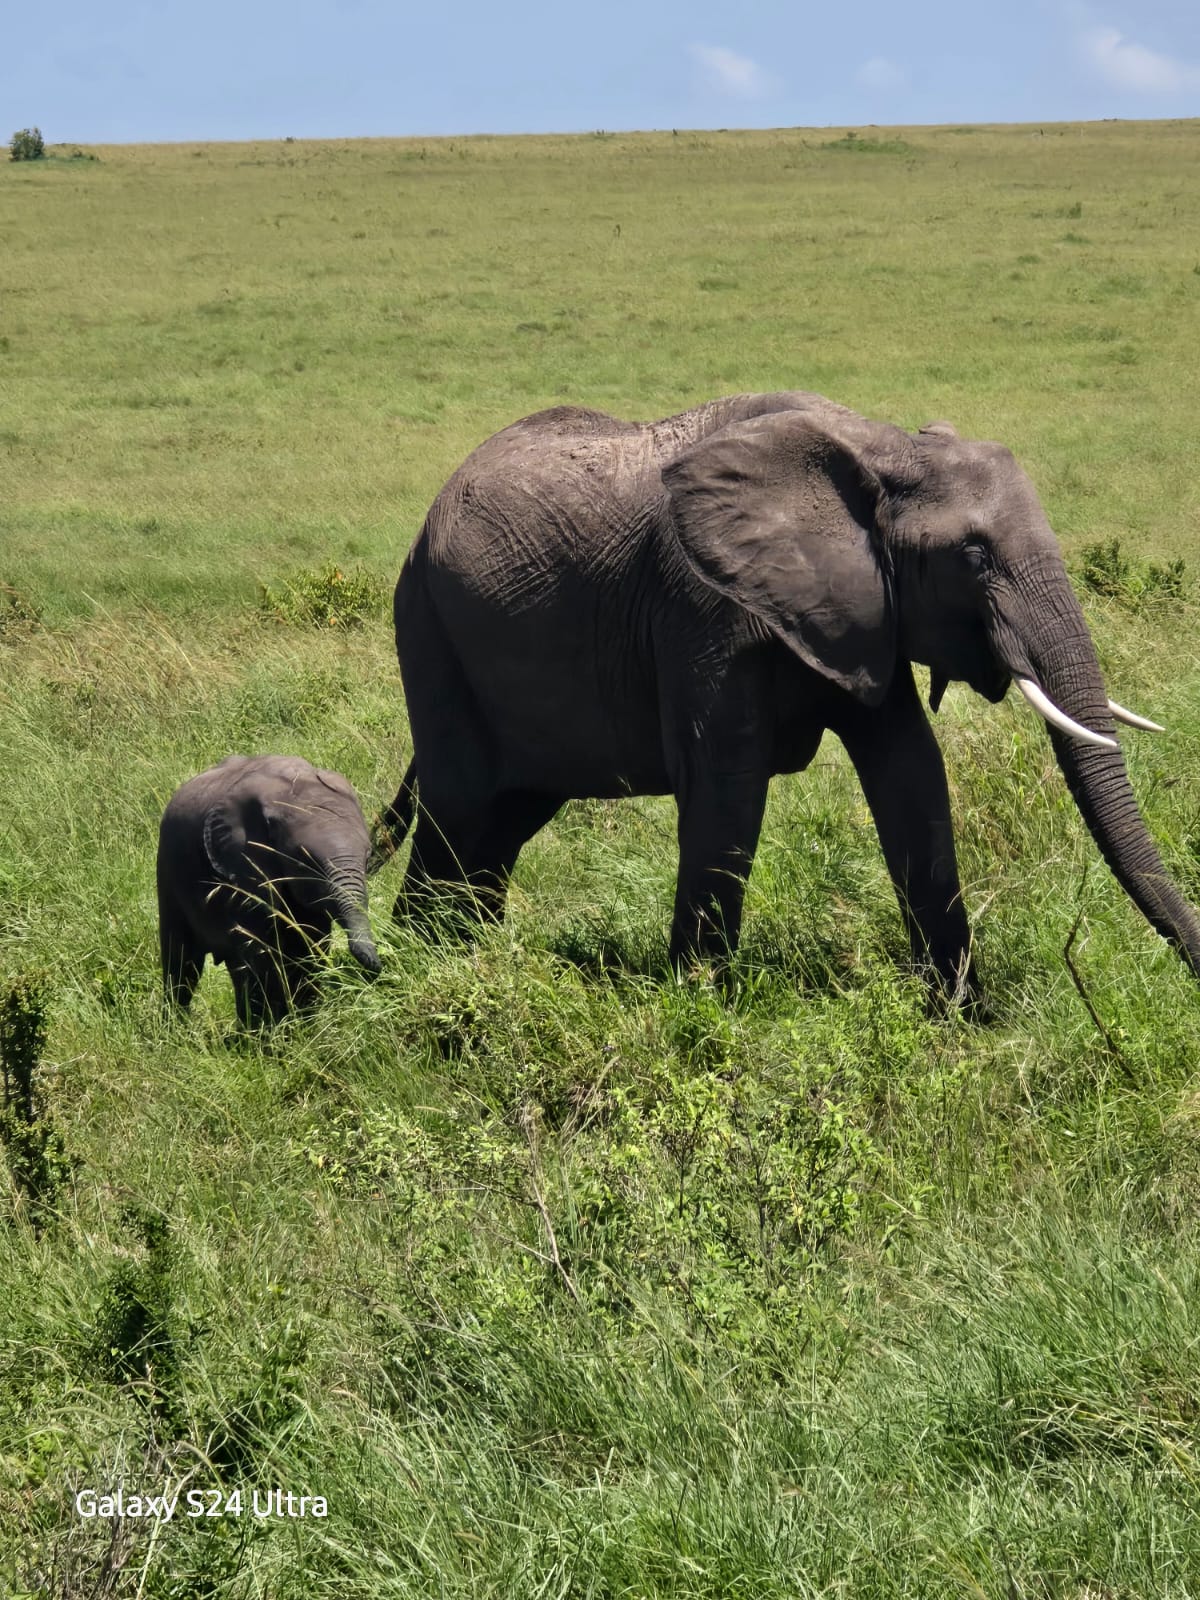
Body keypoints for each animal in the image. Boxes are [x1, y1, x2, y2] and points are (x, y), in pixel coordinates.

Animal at [158, 754, 381, 1025]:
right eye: (304, 862)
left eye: (368, 858)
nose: (377, 966)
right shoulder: (242, 868)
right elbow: (262, 953)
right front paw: (278, 1031)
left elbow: (310, 946)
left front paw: (306, 1025)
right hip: (169, 871)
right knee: (183, 962)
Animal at [370, 391, 1200, 998]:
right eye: (972, 555)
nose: (1189, 973)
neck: (883, 446)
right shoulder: (701, 605)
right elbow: (727, 786)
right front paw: (702, 1010)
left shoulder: (865, 608)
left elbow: (910, 771)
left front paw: (965, 1020)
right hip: (428, 626)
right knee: (458, 811)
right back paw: (422, 974)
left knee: (504, 822)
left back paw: (469, 959)